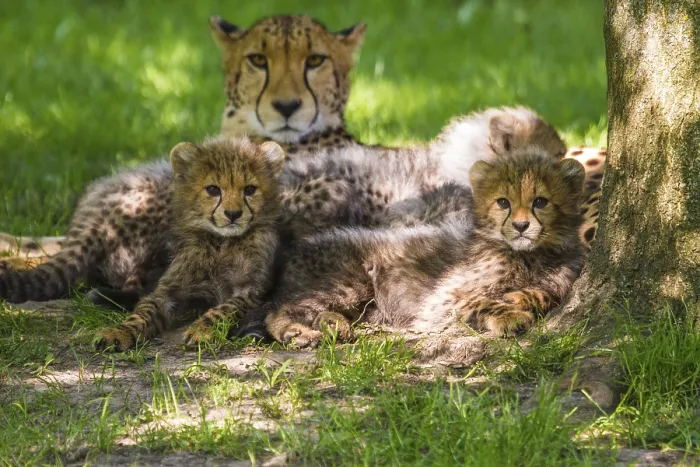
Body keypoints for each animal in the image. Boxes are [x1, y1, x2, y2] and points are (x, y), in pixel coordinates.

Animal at [93, 137, 285, 351]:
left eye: (250, 189)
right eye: (213, 189)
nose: (233, 214)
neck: (221, 243)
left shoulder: (250, 292)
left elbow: (224, 309)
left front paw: (202, 329)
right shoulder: (169, 290)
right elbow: (144, 309)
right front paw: (119, 331)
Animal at [264, 147, 587, 348]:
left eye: (540, 202)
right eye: (503, 202)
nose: (521, 226)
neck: (531, 256)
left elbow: (546, 292)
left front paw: (522, 297)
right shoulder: (443, 300)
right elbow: (480, 300)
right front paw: (510, 315)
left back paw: (332, 324)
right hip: (351, 282)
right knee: (279, 311)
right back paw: (297, 332)